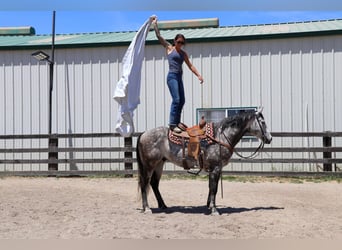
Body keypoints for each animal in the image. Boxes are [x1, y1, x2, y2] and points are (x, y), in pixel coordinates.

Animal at [136, 107, 272, 215]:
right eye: (263, 122)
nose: (269, 138)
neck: (221, 136)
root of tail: (143, 134)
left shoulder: (215, 169)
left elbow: (211, 188)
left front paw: (210, 206)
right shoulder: (216, 168)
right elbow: (214, 188)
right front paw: (214, 210)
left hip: (159, 163)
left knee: (154, 183)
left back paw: (163, 205)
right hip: (149, 165)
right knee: (145, 183)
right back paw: (147, 208)